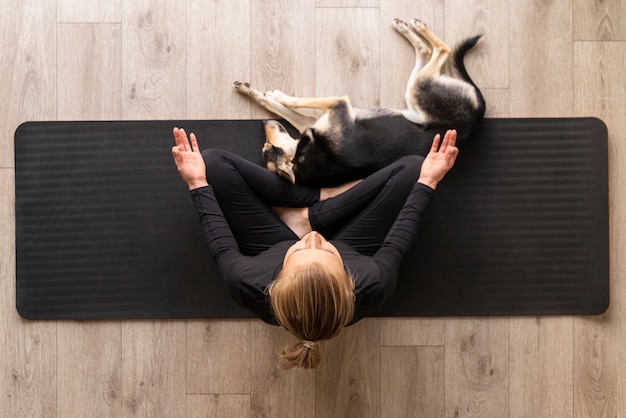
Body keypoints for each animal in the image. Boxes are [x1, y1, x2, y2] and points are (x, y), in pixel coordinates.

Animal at [233, 19, 482, 186]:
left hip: (417, 91)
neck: (301, 157)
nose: (263, 124)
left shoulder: (329, 110)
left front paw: (266, 94)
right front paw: (269, 95)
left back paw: (410, 27)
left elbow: (287, 104)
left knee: (439, 50)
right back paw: (412, 28)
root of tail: (475, 118)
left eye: (269, 145)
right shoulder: (332, 109)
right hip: (418, 90)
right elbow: (291, 105)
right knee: (437, 51)